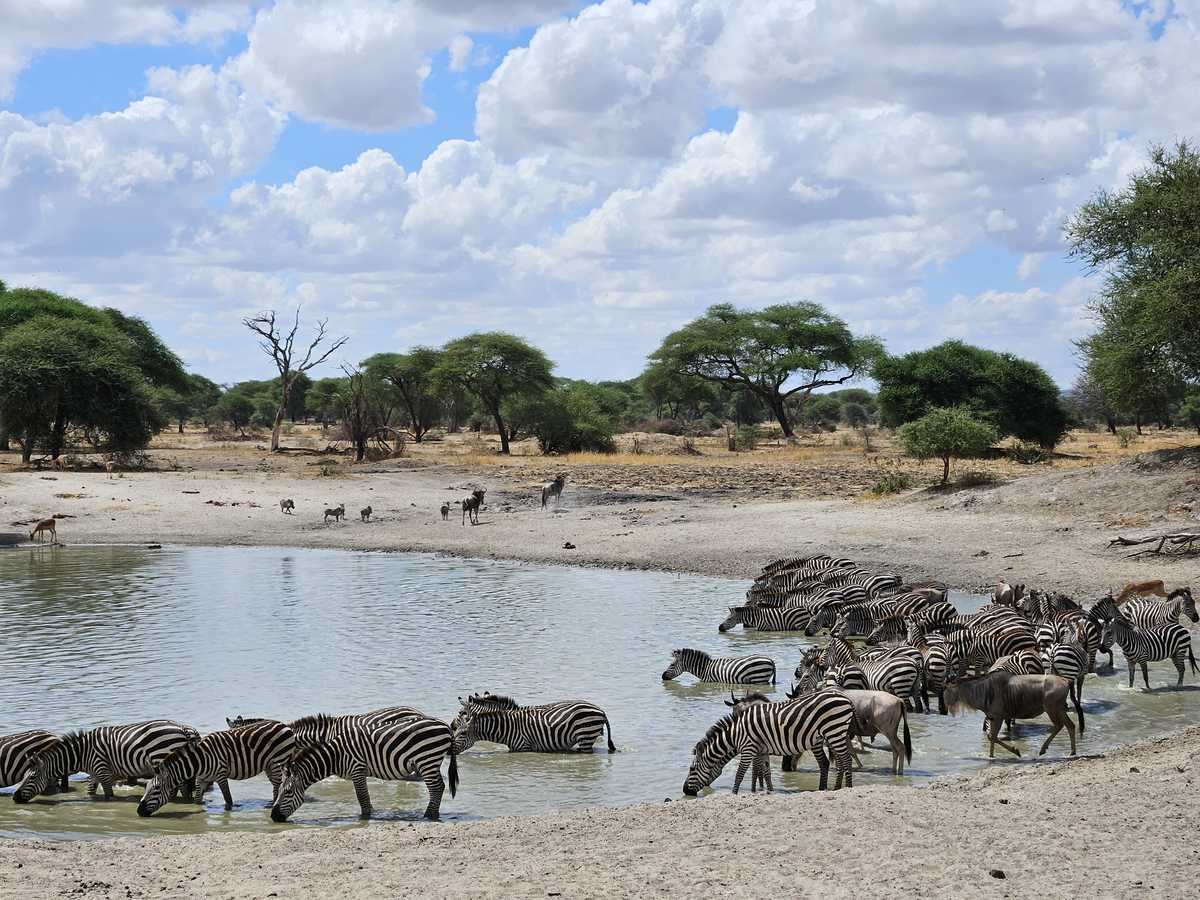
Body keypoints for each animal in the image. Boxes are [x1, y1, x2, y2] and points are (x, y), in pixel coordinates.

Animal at [13, 720, 200, 803]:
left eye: (31, 778)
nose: (14, 798)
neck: (83, 754)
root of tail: (183, 728)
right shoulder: (95, 773)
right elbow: (91, 792)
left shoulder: (103, 771)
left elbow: (108, 794)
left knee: (181, 788)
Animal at [137, 719, 297, 816]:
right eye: (147, 788)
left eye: (156, 789)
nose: (139, 811)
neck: (199, 761)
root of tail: (285, 725)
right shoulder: (201, 779)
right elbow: (197, 800)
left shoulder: (221, 775)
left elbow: (228, 800)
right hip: (269, 764)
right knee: (276, 784)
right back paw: (271, 803)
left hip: (279, 761)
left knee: (279, 784)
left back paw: (272, 804)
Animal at [271, 715, 458, 821]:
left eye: (288, 792)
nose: (273, 817)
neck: (336, 755)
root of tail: (445, 726)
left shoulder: (357, 769)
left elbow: (363, 798)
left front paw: (365, 817)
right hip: (428, 761)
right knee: (438, 787)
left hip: (427, 759)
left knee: (437, 787)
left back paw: (428, 815)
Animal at [683, 689, 856, 795]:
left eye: (692, 769)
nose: (685, 791)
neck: (736, 733)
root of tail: (846, 698)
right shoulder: (762, 750)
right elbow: (765, 772)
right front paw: (769, 792)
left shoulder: (748, 748)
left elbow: (740, 774)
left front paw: (734, 793)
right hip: (830, 735)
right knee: (833, 762)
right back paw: (831, 788)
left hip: (834, 731)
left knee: (846, 760)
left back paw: (848, 788)